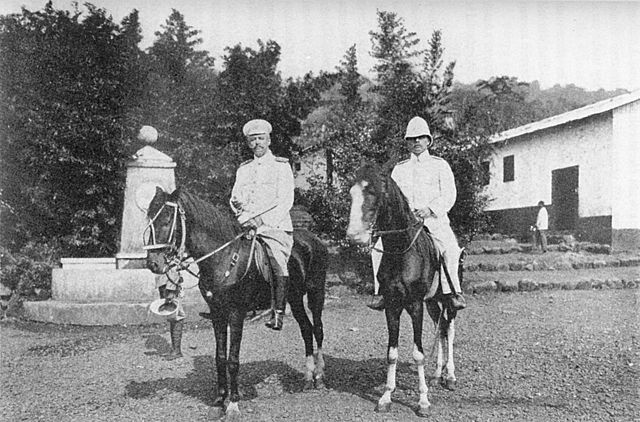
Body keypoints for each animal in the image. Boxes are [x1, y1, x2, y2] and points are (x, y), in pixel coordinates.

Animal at [143, 188, 328, 418]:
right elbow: (220, 356)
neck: (225, 257)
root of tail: (314, 240)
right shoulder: (217, 313)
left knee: (318, 329)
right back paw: (308, 378)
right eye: (150, 218)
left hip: (316, 293)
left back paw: (319, 376)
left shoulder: (236, 314)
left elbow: (233, 359)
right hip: (294, 299)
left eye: (168, 219)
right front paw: (220, 398)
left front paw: (232, 403)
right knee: (306, 329)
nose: (153, 263)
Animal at [344, 163, 460, 418]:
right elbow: (392, 353)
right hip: (432, 302)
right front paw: (386, 396)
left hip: (448, 300)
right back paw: (438, 374)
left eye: (373, 192)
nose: (355, 236)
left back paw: (450, 375)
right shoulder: (392, 306)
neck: (402, 251)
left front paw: (423, 401)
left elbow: (418, 354)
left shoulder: (415, 306)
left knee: (450, 329)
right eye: (351, 193)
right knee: (441, 329)